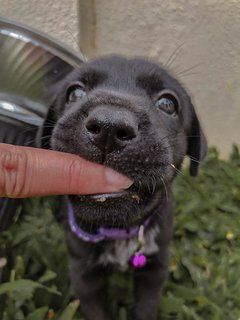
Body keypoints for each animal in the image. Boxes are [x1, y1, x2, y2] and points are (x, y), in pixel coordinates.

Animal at [38, 56, 207, 318]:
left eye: (168, 103)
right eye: (74, 93)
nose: (109, 125)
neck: (119, 230)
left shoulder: (155, 268)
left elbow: (146, 307)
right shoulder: (84, 277)